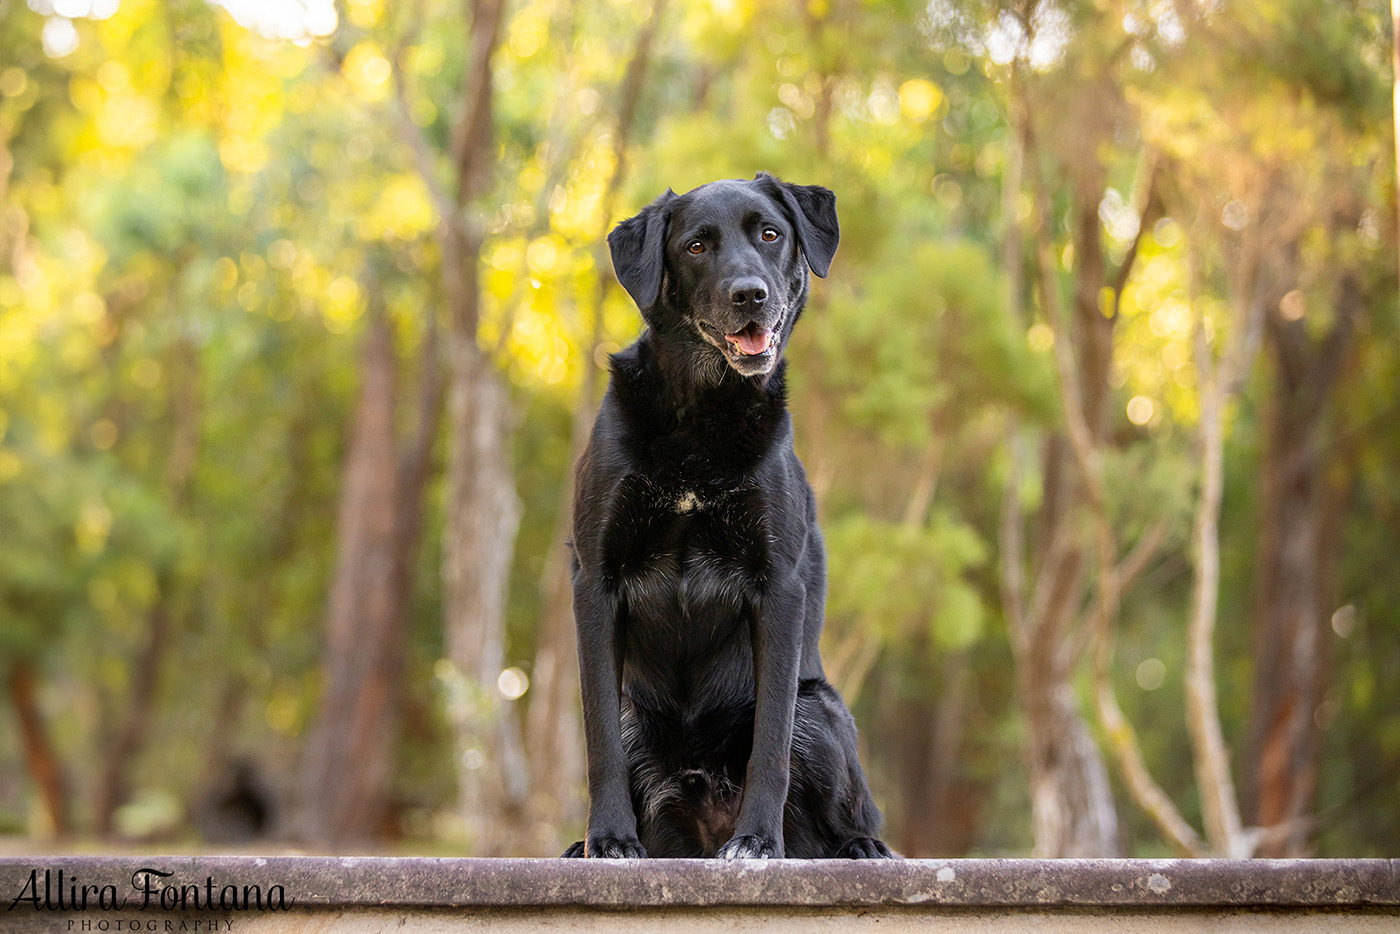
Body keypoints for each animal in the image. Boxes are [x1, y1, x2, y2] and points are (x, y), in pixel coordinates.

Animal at [562, 175, 890, 862]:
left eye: (770, 233)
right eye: (695, 246)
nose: (751, 296)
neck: (702, 415)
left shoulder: (779, 588)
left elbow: (770, 743)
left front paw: (759, 840)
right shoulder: (595, 581)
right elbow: (599, 737)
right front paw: (607, 839)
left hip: (818, 710)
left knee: (847, 813)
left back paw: (858, 848)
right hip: (640, 716)